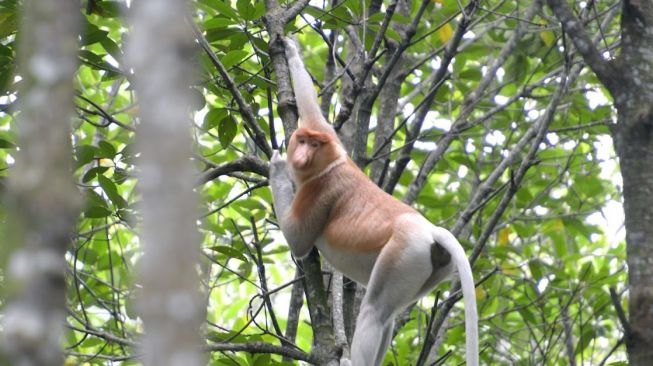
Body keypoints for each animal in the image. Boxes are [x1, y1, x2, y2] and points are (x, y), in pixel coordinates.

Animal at [268, 38, 478, 366]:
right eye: (302, 140)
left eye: (314, 145)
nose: (301, 156)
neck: (330, 164)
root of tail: (430, 230)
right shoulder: (335, 143)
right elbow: (313, 111)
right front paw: (290, 49)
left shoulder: (320, 190)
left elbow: (298, 240)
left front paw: (276, 167)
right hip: (433, 269)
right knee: (389, 315)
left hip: (405, 252)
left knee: (375, 312)